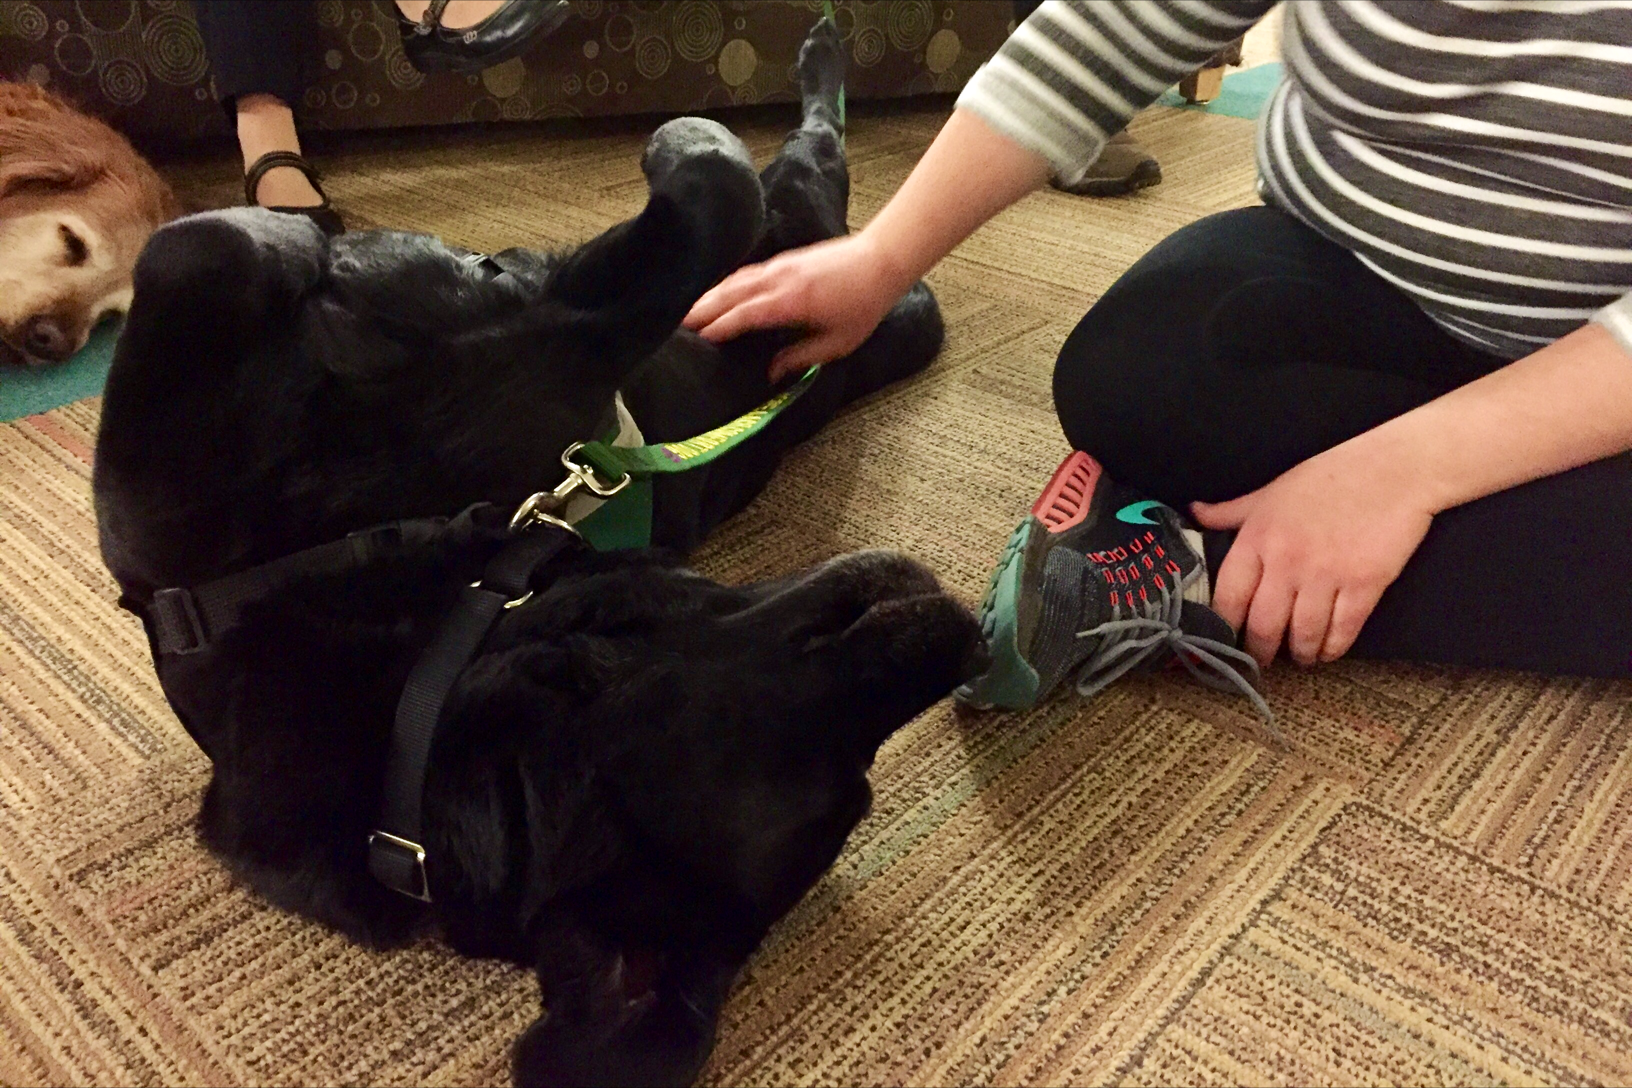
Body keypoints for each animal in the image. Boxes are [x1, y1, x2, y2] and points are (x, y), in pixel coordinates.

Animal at [92, 23, 979, 1088]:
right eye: (853, 772)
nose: (963, 633)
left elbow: (711, 180)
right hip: (833, 290)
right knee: (831, 206)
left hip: (798, 245)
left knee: (806, 163)